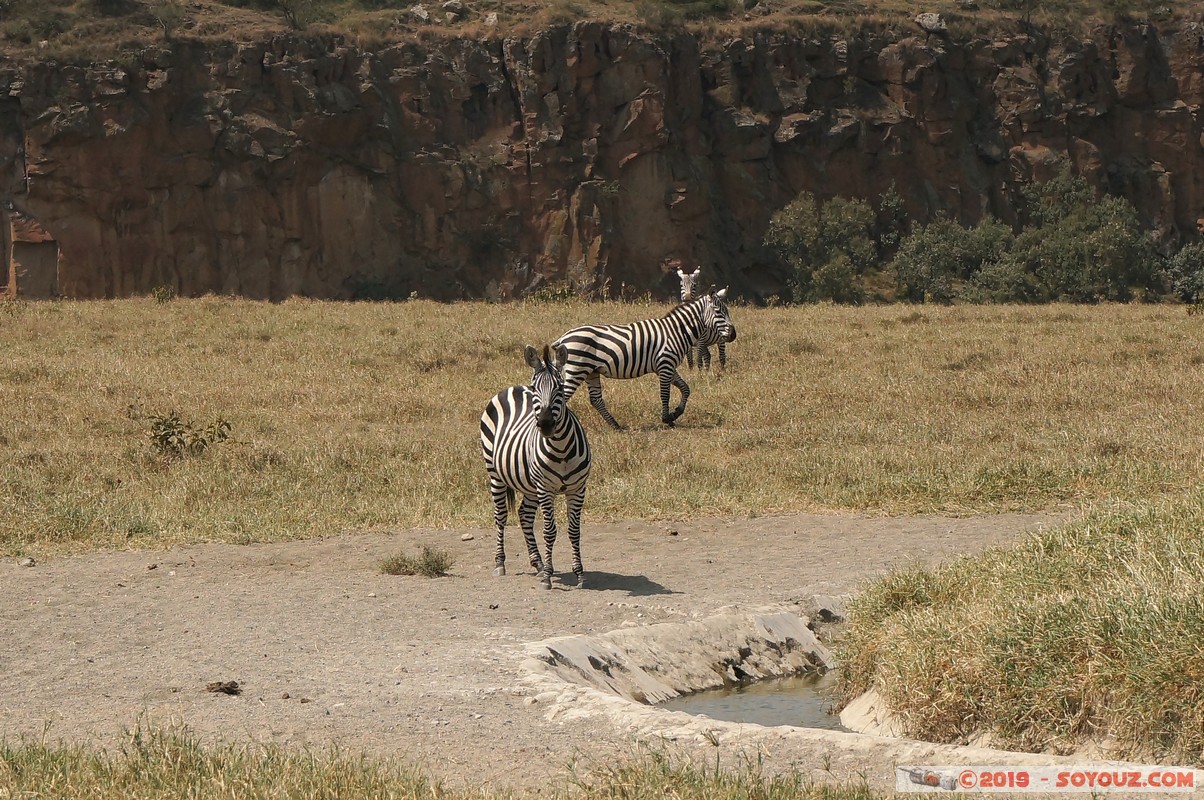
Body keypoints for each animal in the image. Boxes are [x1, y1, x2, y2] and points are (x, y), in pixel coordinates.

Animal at [479, 342, 592, 587]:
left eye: (560, 387)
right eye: (535, 388)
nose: (545, 424)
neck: (561, 449)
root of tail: (511, 388)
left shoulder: (578, 489)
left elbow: (574, 531)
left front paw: (578, 573)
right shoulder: (546, 489)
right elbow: (549, 531)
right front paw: (548, 575)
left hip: (530, 484)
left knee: (525, 515)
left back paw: (538, 563)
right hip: (495, 474)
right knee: (500, 515)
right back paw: (500, 562)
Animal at [551, 292, 732, 431]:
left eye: (727, 311)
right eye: (718, 312)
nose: (734, 334)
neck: (675, 332)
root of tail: (563, 338)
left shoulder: (667, 366)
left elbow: (685, 388)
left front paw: (676, 413)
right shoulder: (665, 365)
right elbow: (665, 394)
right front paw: (666, 418)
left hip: (591, 372)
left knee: (596, 399)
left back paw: (616, 425)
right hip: (577, 369)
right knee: (564, 396)